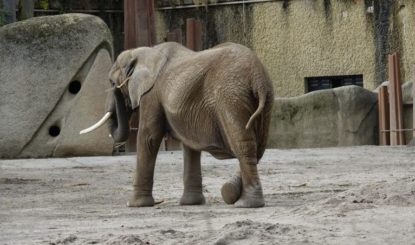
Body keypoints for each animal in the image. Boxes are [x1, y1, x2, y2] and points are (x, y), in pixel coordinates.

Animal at [81, 41, 276, 208]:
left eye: (112, 82)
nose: (115, 87)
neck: (143, 52)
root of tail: (257, 77)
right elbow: (190, 146)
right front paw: (191, 203)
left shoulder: (151, 94)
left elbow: (148, 137)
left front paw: (134, 205)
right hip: (265, 100)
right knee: (258, 147)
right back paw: (231, 193)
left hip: (230, 97)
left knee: (243, 145)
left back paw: (246, 203)